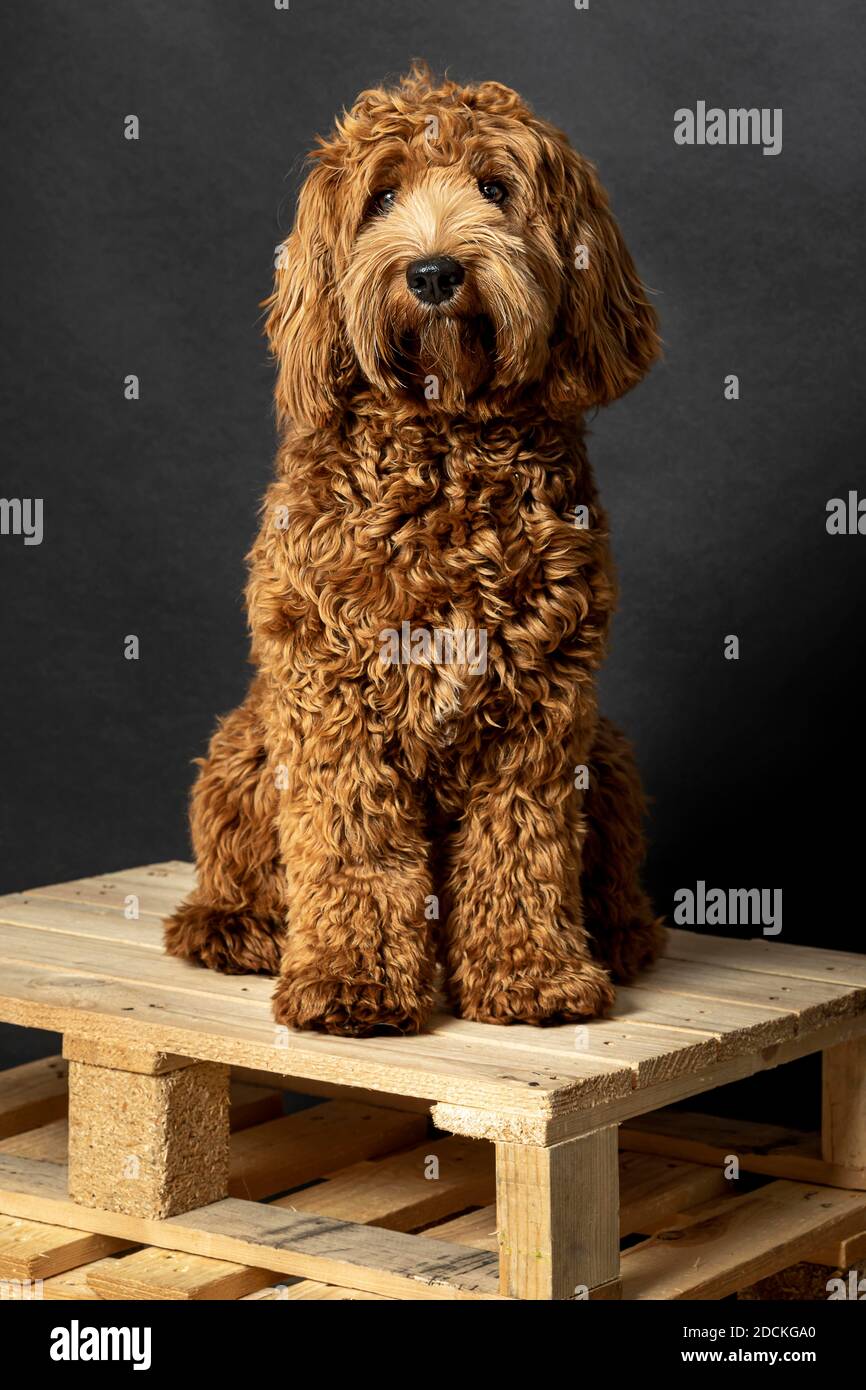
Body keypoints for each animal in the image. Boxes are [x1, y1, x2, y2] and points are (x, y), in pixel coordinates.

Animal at [166, 59, 667, 1034]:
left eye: (496, 189)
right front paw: (350, 980)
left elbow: (522, 842)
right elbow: (351, 843)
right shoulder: (329, 693)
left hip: (610, 751)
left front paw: (532, 973)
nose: (434, 271)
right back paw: (237, 926)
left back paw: (620, 935)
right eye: (383, 196)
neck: (445, 445)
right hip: (247, 740)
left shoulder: (544, 702)